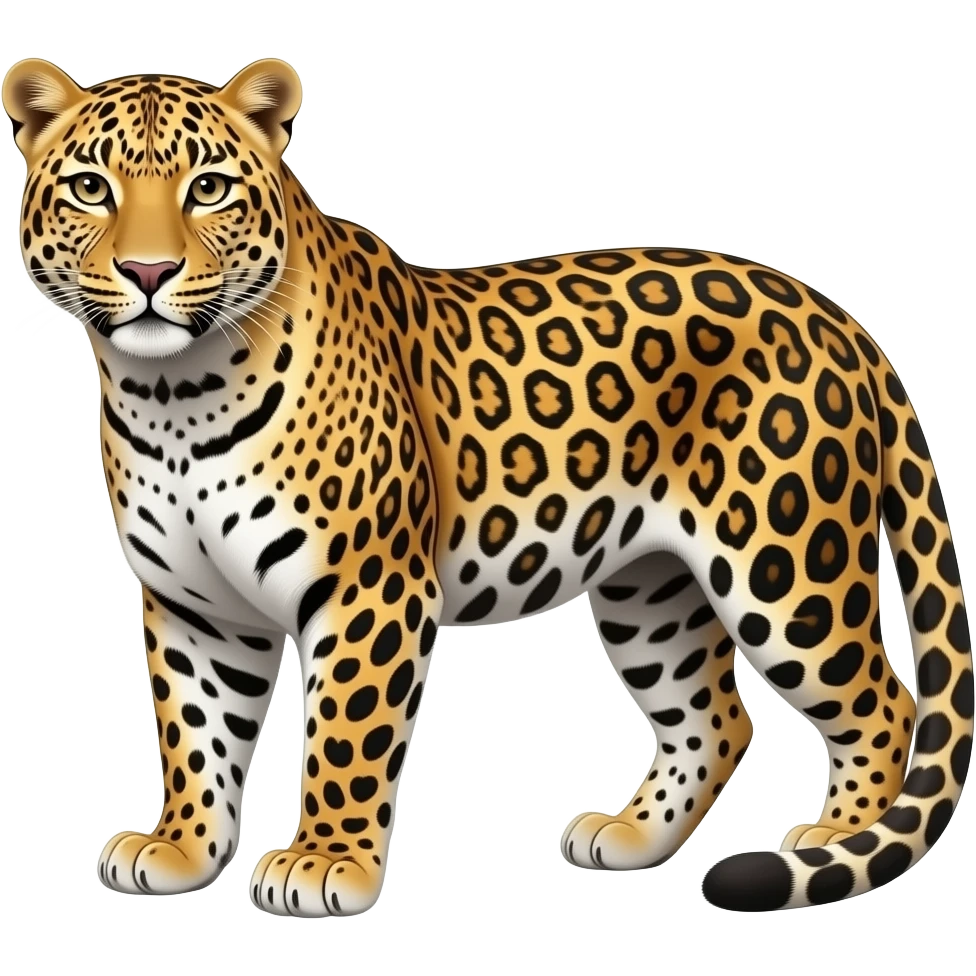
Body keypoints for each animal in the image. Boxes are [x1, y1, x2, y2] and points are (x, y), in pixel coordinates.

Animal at [4, 56, 972, 917]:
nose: (149, 274)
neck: (175, 396)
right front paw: (182, 848)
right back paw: (629, 837)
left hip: (785, 571)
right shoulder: (195, 602)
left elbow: (345, 733)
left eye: (208, 188)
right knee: (717, 720)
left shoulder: (369, 587)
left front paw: (324, 863)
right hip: (648, 589)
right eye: (91, 188)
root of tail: (834, 314)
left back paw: (833, 839)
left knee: (888, 706)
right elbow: (194, 731)